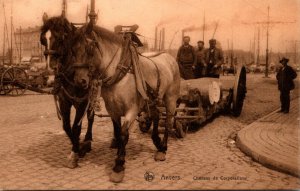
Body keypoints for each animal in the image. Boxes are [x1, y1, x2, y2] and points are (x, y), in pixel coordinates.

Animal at [69, 21, 179, 182]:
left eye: (89, 48)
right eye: (72, 50)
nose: (79, 81)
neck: (120, 74)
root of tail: (168, 56)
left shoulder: (132, 110)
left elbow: (123, 134)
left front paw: (118, 165)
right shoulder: (112, 110)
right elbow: (117, 131)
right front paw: (119, 156)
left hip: (170, 98)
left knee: (169, 122)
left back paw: (163, 148)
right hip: (152, 100)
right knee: (156, 116)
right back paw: (157, 142)